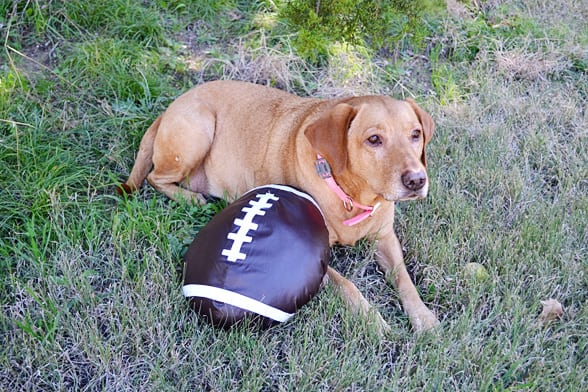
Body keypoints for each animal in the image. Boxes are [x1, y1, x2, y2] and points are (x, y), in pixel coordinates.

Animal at [119, 79, 438, 334]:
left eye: (415, 134)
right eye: (374, 139)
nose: (416, 180)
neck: (354, 196)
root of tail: (170, 108)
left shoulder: (385, 237)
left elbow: (405, 279)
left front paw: (423, 317)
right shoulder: (321, 258)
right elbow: (348, 285)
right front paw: (373, 320)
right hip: (198, 131)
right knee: (154, 177)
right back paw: (192, 198)